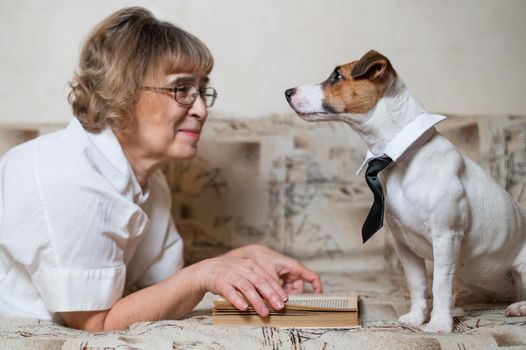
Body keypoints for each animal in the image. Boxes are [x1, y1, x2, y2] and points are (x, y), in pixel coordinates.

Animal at [286, 50, 526, 334]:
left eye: (337, 76)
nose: (288, 91)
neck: (401, 157)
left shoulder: (446, 237)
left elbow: (440, 283)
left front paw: (439, 323)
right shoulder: (404, 245)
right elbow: (418, 282)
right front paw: (417, 317)